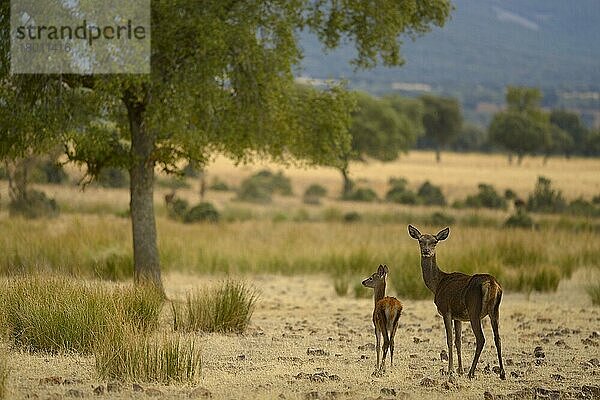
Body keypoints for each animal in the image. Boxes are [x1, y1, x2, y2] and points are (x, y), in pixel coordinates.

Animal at [406, 227, 504, 380]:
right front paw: (460, 370)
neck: (437, 284)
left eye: (435, 242)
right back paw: (502, 373)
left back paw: (471, 373)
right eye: (420, 241)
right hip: (495, 310)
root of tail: (491, 284)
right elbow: (458, 341)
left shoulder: (446, 310)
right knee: (498, 338)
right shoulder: (458, 316)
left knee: (481, 339)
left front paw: (451, 370)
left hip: (474, 309)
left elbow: (450, 339)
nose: (426, 251)